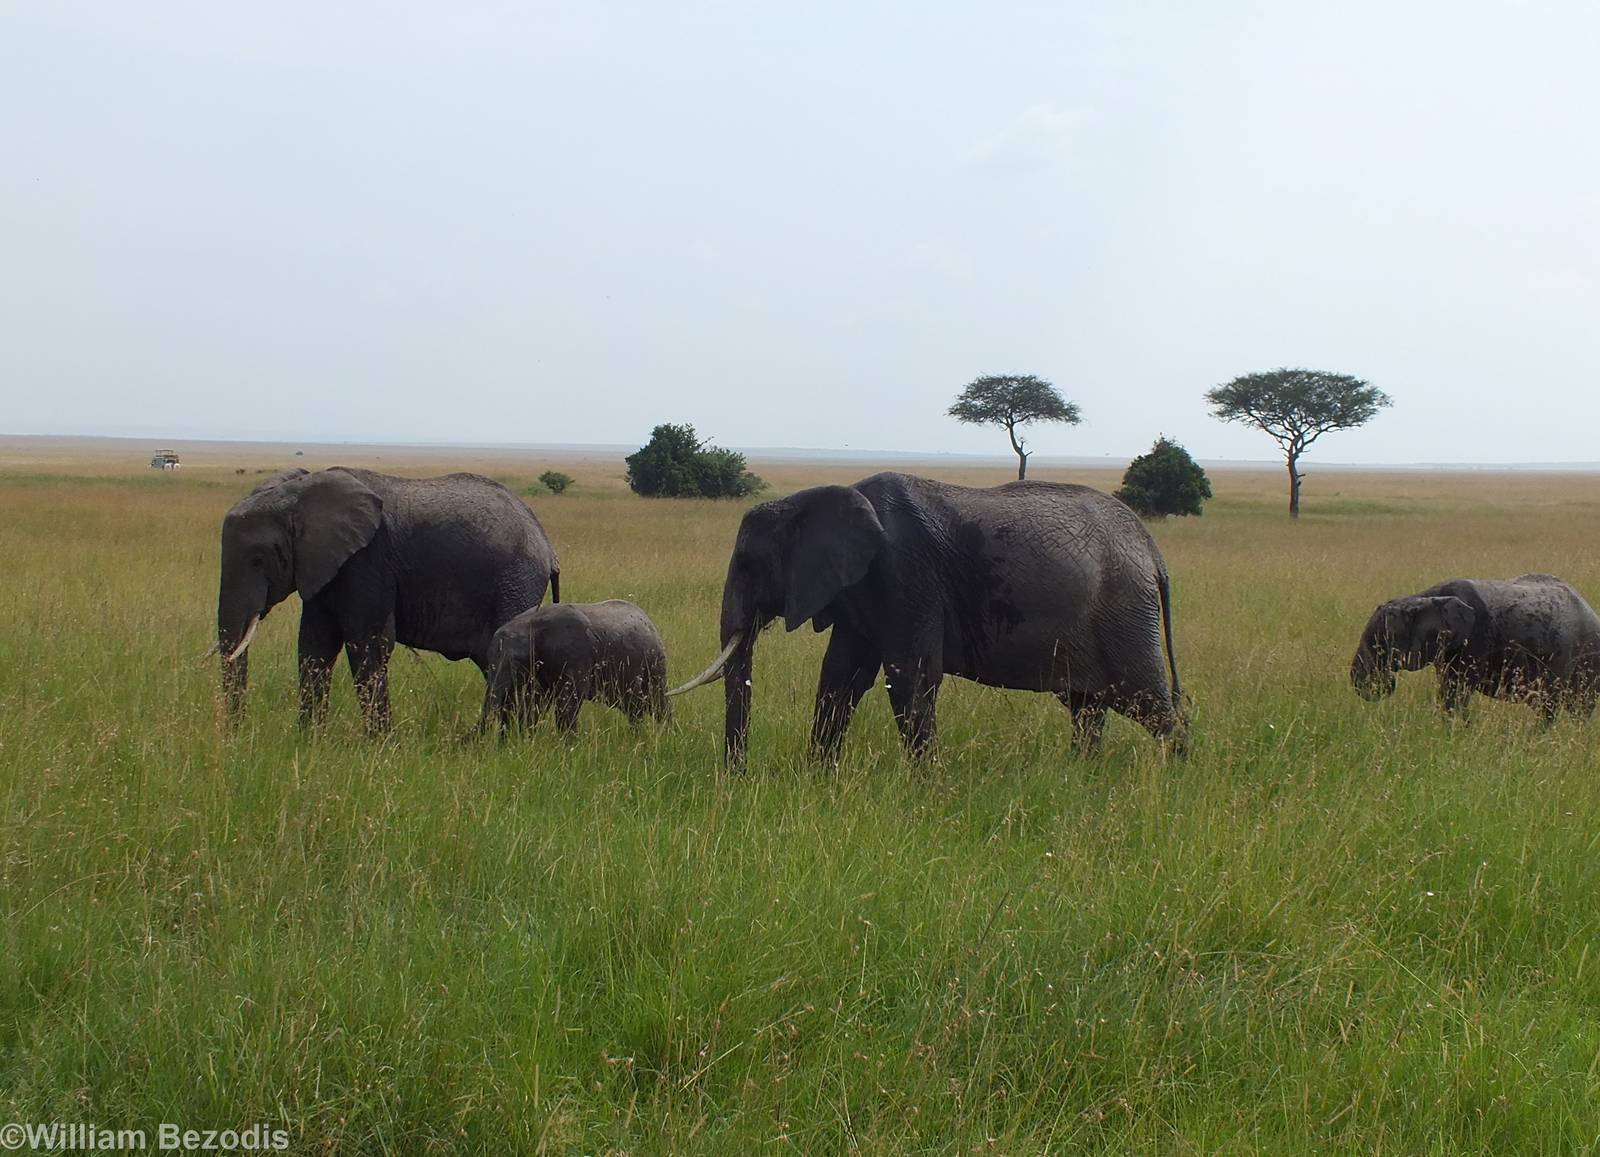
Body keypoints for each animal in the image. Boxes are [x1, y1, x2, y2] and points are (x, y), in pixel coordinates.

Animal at [216, 467, 559, 731]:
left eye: (258, 560)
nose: (239, 734)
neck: (298, 494)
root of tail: (546, 544)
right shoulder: (324, 567)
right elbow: (315, 646)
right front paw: (309, 741)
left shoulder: (367, 560)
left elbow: (368, 644)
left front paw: (379, 746)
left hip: (516, 582)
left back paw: (514, 738)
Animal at [480, 600, 670, 733]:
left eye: (516, 663)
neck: (531, 625)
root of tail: (649, 621)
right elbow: (535, 702)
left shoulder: (576, 656)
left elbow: (568, 703)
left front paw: (569, 749)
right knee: (633, 707)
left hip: (655, 664)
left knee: (657, 702)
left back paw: (667, 735)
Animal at [669, 471, 1185, 766]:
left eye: (747, 565)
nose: (736, 776)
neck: (812, 500)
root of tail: (1154, 552)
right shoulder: (862, 586)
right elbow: (841, 676)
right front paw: (818, 776)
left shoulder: (903, 573)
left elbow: (910, 678)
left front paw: (927, 790)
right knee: (1087, 708)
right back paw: (1081, 776)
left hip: (1124, 613)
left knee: (1149, 704)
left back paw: (1175, 778)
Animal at [1351, 574, 1600, 720]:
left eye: (1382, 642)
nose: (1386, 680)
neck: (1424, 598)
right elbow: (1448, 690)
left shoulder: (1475, 640)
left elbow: (1456, 692)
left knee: (1559, 707)